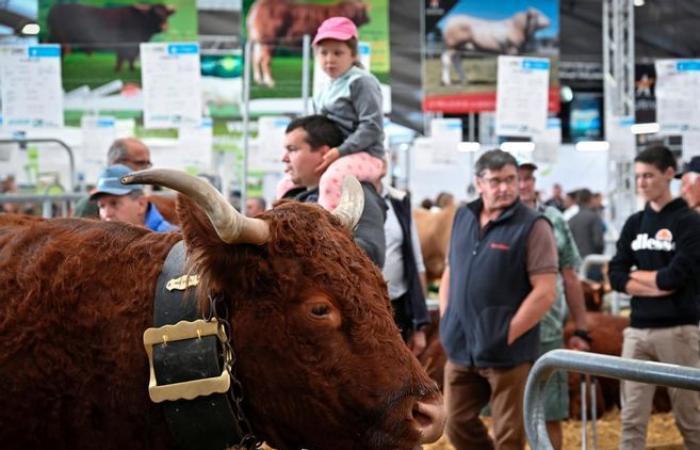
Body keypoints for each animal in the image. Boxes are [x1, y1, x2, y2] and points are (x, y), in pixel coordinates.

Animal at [47, 3, 175, 71]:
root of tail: (55, 7)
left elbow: (131, 58)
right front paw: (118, 69)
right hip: (59, 38)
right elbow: (122, 57)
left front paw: (131, 68)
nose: (163, 27)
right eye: (154, 13)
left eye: (166, 14)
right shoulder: (124, 44)